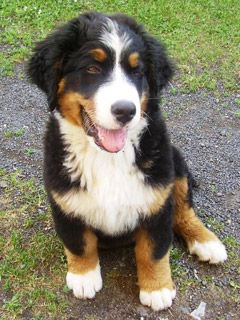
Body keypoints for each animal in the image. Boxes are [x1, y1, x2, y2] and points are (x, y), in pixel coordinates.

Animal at [27, 11, 227, 310]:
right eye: (92, 68)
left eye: (137, 71)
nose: (125, 111)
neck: (107, 157)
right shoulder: (64, 199)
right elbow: (79, 243)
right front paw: (84, 276)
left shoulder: (157, 198)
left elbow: (153, 250)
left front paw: (156, 288)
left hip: (174, 162)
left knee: (183, 210)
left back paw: (206, 242)